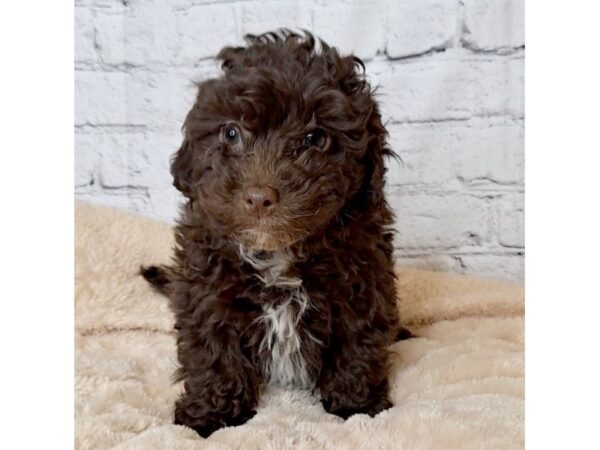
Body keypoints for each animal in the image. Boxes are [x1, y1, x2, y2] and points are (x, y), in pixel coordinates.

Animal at [143, 29, 400, 438]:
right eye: (231, 132)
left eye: (316, 138)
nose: (259, 197)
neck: (277, 253)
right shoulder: (205, 287)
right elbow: (213, 347)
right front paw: (210, 414)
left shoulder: (364, 276)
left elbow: (357, 339)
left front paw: (356, 404)